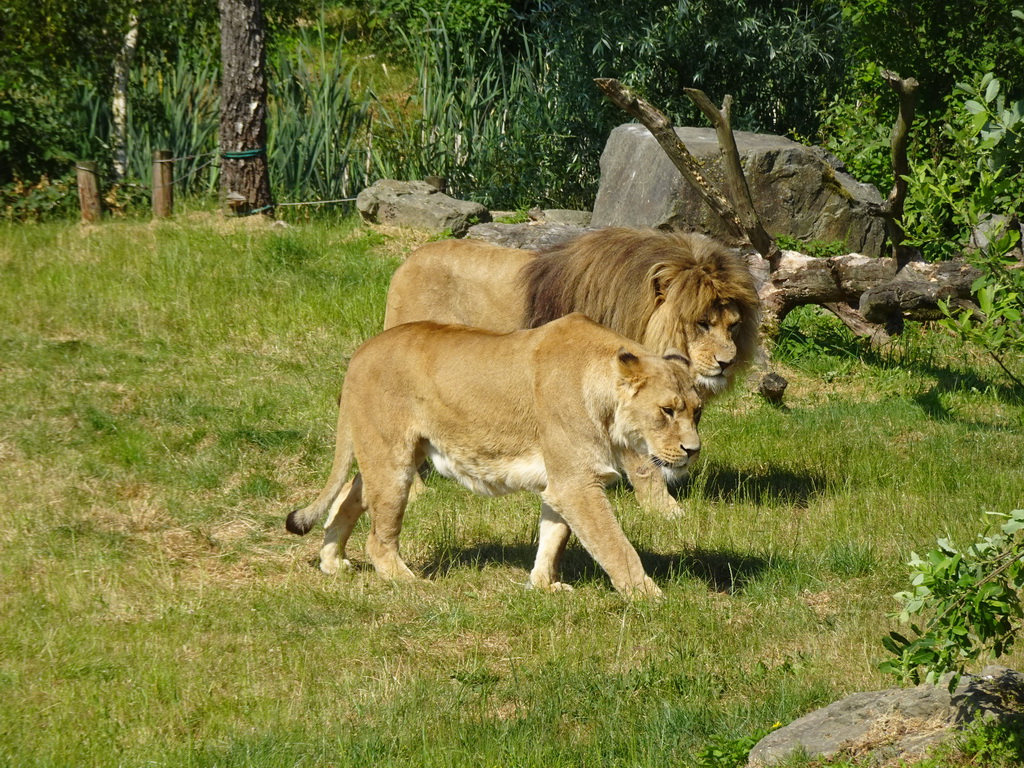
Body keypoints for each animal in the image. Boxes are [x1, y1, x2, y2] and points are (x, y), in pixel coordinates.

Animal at [288, 313, 704, 602]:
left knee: (348, 497)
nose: (693, 450)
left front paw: (543, 586)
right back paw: (407, 582)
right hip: (393, 462)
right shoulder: (577, 484)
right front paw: (649, 597)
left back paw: (332, 563)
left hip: (393, 455)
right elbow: (615, 545)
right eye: (667, 410)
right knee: (378, 537)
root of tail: (361, 352)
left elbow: (553, 536)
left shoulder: (561, 483)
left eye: (697, 411)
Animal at [385, 228, 761, 518]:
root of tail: (409, 260)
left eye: (734, 325)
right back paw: (415, 493)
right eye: (702, 323)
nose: (727, 362)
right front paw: (666, 511)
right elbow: (644, 463)